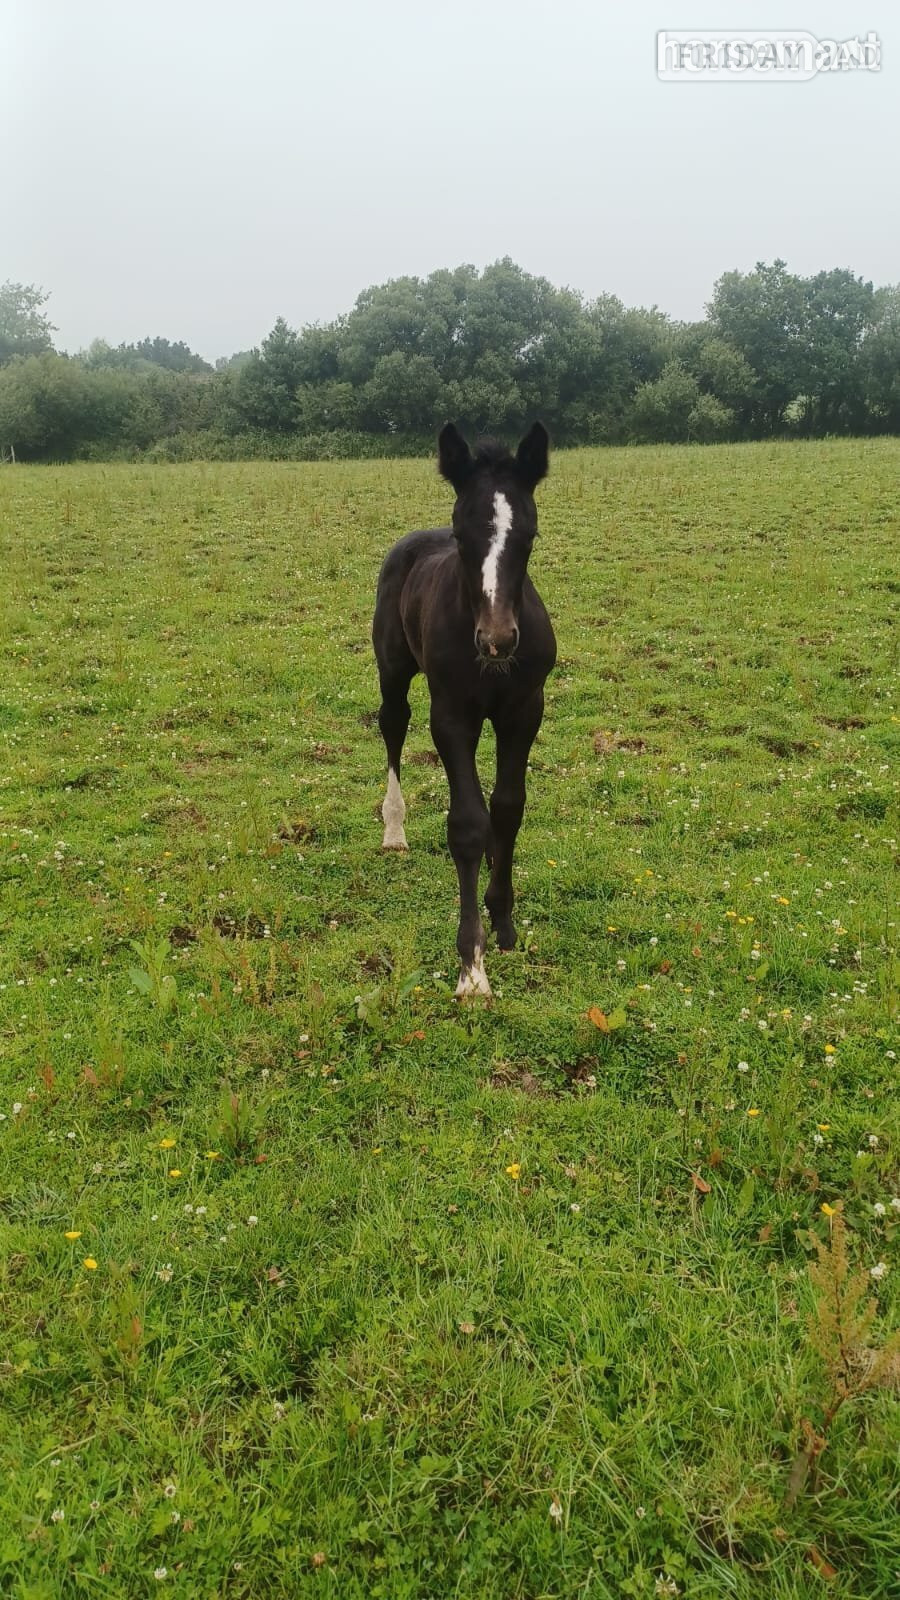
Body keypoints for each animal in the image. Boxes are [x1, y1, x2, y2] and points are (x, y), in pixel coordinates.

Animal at [372, 421, 556, 999]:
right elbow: (468, 823)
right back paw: (394, 831)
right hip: (393, 671)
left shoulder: (525, 709)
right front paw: (472, 968)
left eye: (529, 536)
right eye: (460, 536)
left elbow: (509, 806)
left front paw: (504, 920)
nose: (497, 640)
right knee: (392, 725)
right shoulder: (452, 716)